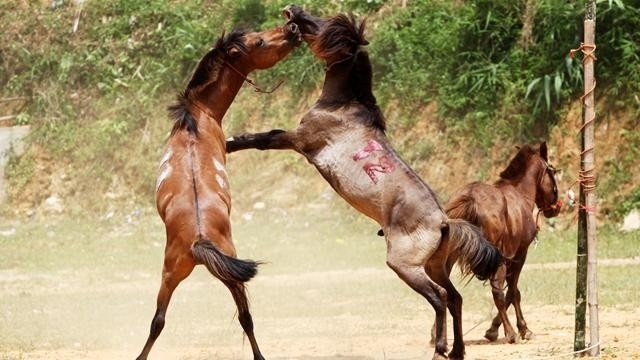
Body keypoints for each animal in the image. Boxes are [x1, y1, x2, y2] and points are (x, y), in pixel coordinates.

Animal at [135, 23, 300, 360]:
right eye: (259, 41)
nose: (292, 28)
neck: (197, 116)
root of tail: (200, 240)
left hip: (171, 276)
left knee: (158, 321)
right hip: (226, 276)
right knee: (246, 318)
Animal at [228, 6, 502, 360]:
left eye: (321, 24)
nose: (294, 12)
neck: (344, 107)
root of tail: (443, 222)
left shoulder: (299, 140)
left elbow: (264, 138)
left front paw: (230, 143)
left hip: (406, 266)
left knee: (439, 297)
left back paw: (441, 348)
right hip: (435, 265)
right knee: (454, 298)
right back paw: (456, 350)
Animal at [442, 141, 564, 344]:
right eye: (552, 172)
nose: (556, 207)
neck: (520, 194)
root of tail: (471, 198)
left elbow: (513, 292)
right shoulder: (519, 255)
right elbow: (513, 292)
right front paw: (520, 329)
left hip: (450, 257)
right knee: (497, 291)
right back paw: (510, 333)